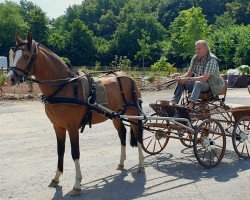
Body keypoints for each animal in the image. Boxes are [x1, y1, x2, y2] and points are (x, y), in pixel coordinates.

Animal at [6, 34, 145, 195]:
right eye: (14, 55)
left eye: (26, 56)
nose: (9, 79)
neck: (64, 87)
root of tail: (128, 77)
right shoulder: (58, 127)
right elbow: (60, 151)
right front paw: (56, 178)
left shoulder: (72, 127)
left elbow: (75, 153)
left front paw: (77, 184)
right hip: (115, 115)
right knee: (122, 134)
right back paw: (121, 163)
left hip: (133, 113)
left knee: (138, 135)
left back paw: (141, 165)